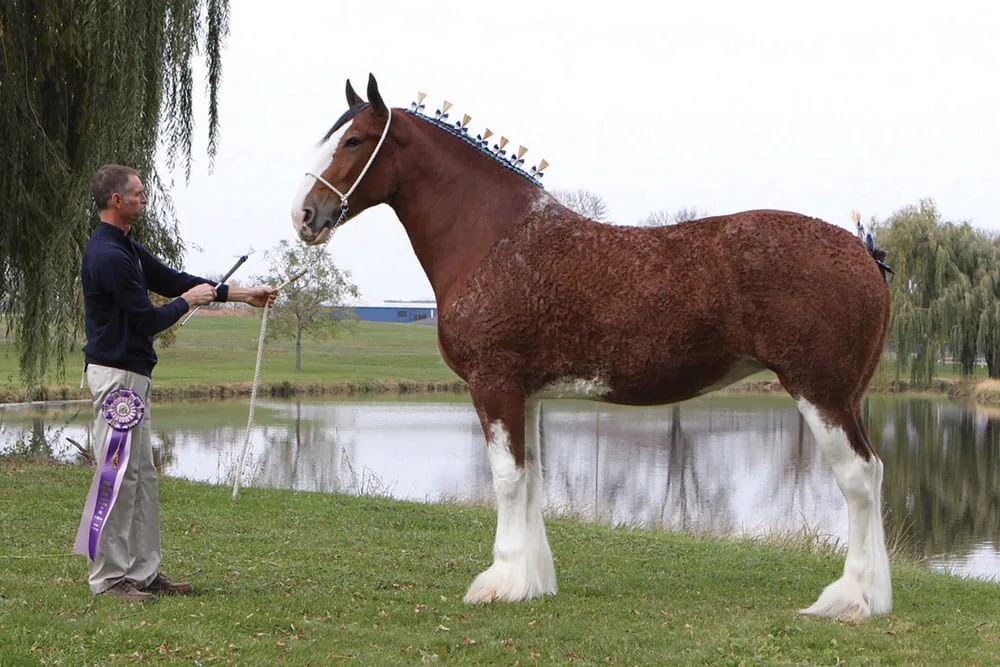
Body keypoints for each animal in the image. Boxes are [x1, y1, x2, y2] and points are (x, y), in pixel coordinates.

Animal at [290, 74, 892, 620]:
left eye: (353, 141)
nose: (305, 216)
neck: (495, 239)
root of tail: (863, 253)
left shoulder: (494, 385)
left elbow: (507, 480)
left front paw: (499, 583)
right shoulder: (527, 396)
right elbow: (531, 478)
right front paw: (531, 583)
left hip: (821, 393)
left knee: (859, 479)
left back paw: (852, 600)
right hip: (845, 398)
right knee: (874, 472)